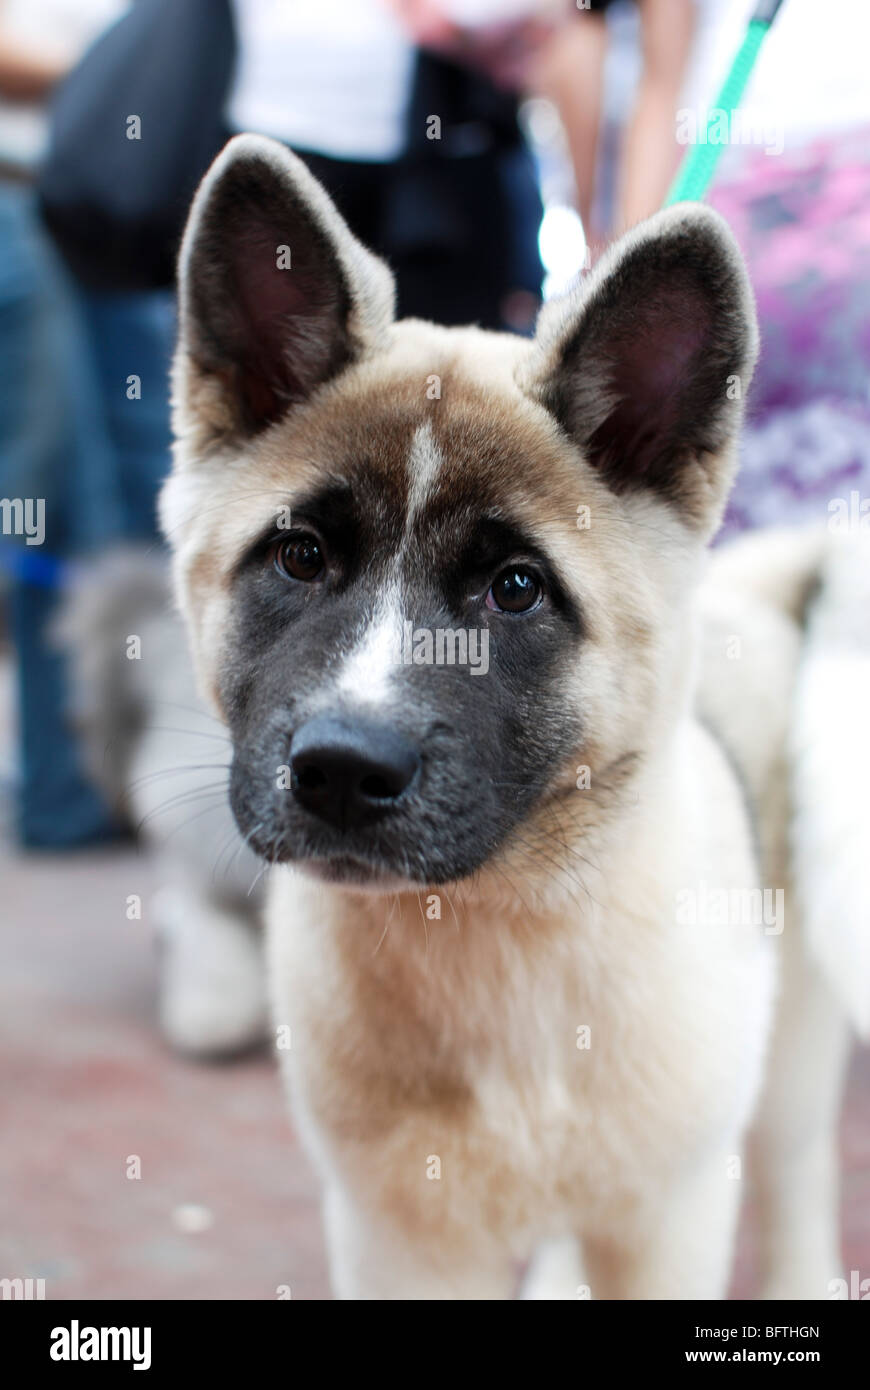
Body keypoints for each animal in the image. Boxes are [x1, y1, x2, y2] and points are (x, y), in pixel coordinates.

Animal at [159, 135, 861, 1295]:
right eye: (300, 557)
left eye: (517, 589)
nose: (342, 770)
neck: (492, 945)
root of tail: (764, 590)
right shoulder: (404, 1238)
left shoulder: (666, 1222)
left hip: (792, 1054)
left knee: (799, 1173)